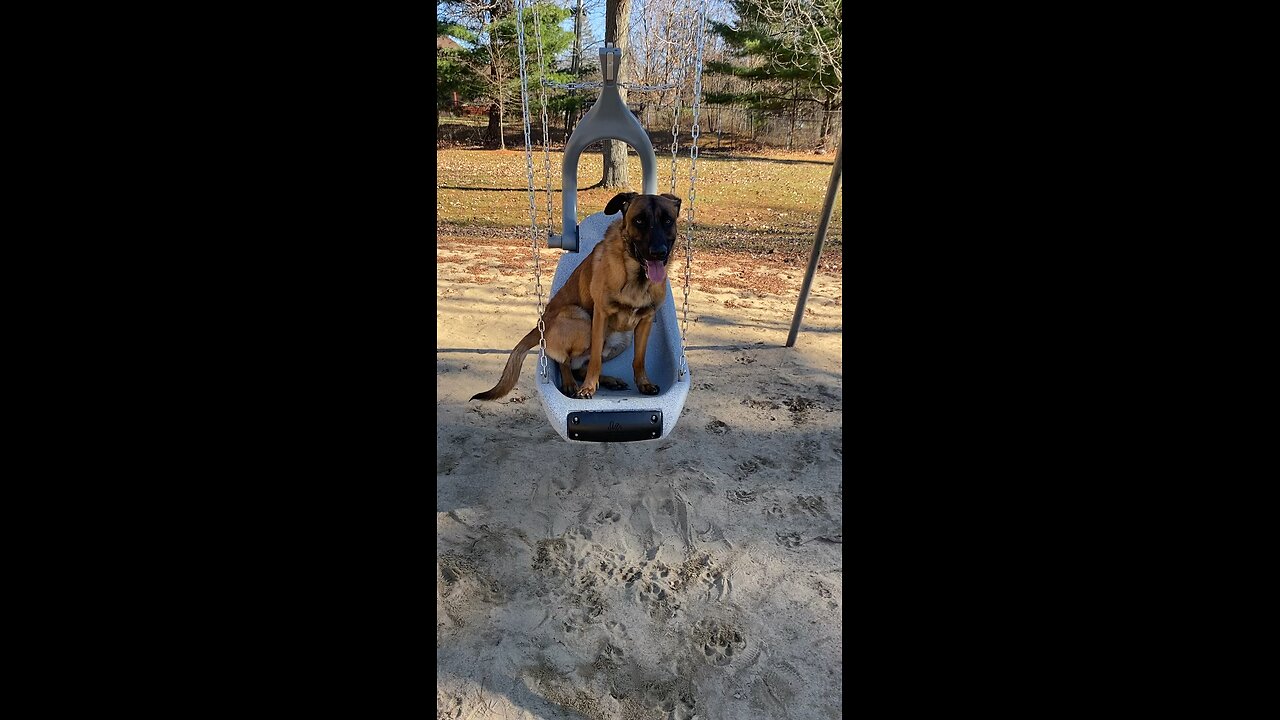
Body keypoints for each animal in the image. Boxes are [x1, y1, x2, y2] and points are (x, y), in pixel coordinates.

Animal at [473, 190, 680, 399]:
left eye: (667, 220)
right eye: (639, 220)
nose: (658, 252)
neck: (636, 278)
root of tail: (541, 324)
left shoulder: (646, 320)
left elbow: (639, 359)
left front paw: (644, 383)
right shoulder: (600, 316)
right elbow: (595, 359)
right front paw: (588, 387)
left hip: (624, 339)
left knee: (578, 367)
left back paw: (608, 381)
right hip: (581, 318)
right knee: (564, 361)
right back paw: (570, 383)